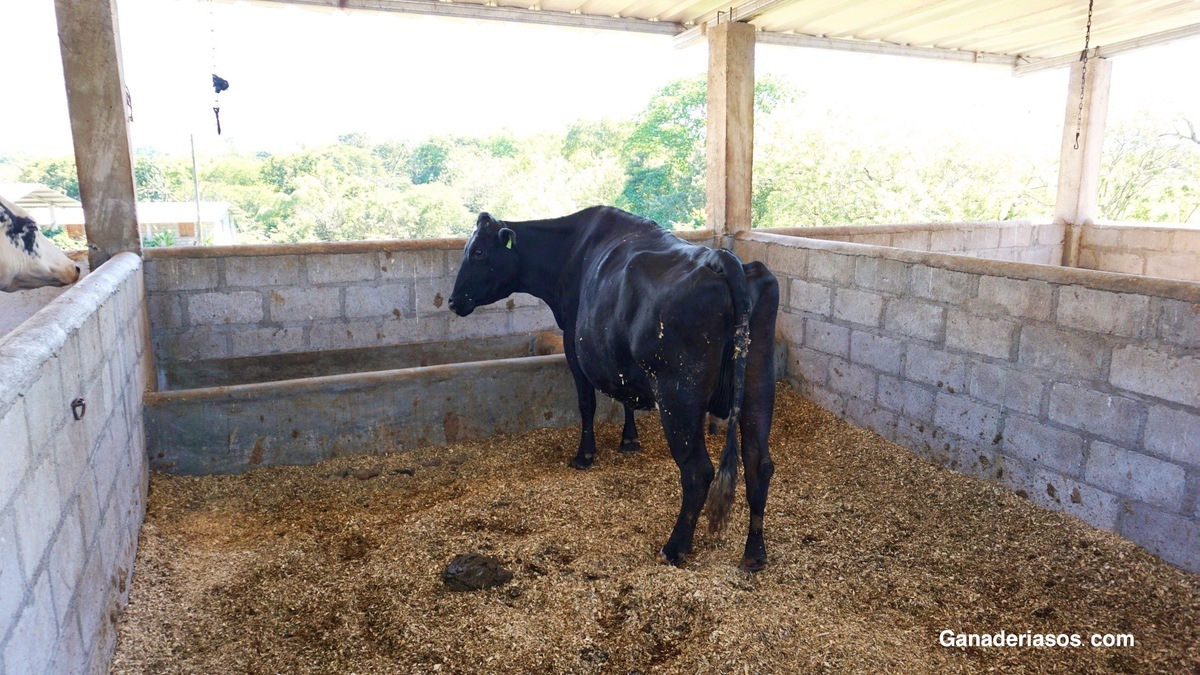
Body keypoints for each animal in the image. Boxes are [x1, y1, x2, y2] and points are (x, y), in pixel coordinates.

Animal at [451, 205, 777, 566]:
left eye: (478, 253)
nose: (452, 301)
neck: (569, 252)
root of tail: (723, 258)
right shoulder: (615, 356)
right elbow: (625, 396)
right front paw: (630, 439)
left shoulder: (573, 344)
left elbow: (587, 403)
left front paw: (585, 454)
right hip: (759, 386)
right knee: (759, 464)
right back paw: (754, 553)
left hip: (679, 395)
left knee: (698, 470)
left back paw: (674, 546)